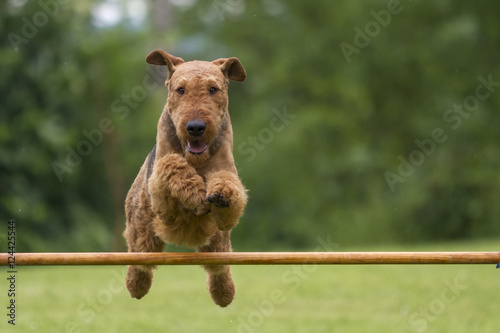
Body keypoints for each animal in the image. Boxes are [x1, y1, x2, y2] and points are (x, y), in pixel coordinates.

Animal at [123, 48, 248, 306]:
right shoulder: (161, 197)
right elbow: (172, 164)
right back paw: (136, 286)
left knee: (219, 268)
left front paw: (220, 194)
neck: (197, 160)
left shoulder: (226, 170)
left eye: (213, 89)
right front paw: (196, 193)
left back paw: (224, 294)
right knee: (139, 260)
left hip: (217, 242)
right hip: (143, 231)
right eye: (180, 89)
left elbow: (228, 183)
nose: (195, 127)